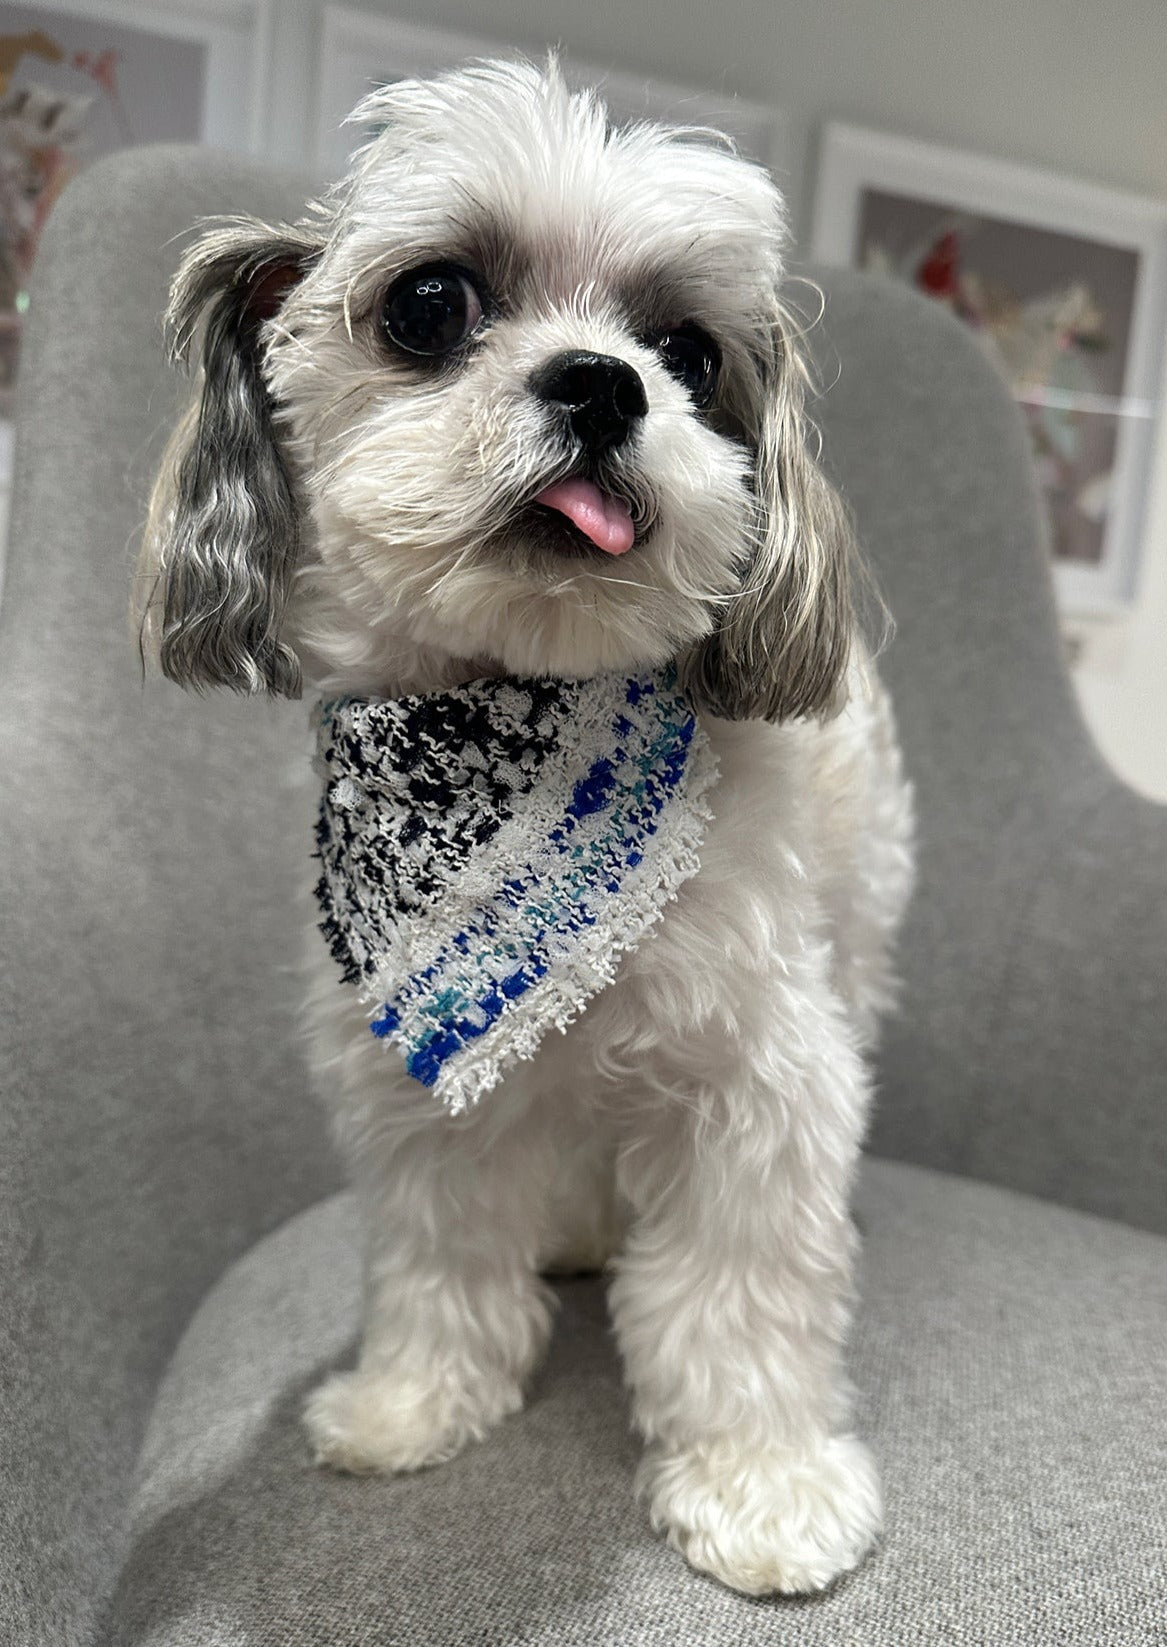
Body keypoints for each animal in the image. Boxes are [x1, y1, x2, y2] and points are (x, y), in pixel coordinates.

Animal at [139, 60, 908, 1594]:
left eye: (688, 350)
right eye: (431, 303)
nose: (605, 382)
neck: (516, 717)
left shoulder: (757, 1074)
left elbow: (743, 1293)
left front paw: (764, 1485)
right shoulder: (407, 1066)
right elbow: (442, 1256)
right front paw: (410, 1400)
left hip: (854, 935)